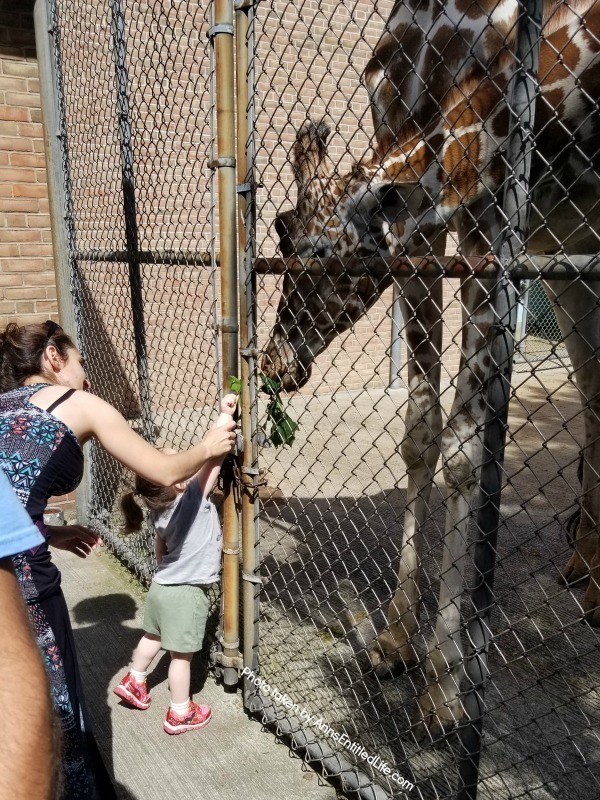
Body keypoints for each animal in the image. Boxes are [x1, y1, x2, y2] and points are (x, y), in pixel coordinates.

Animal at [264, 0, 600, 740]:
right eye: (280, 233)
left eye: (325, 251)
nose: (274, 362)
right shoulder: (426, 229)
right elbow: (422, 433)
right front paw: (394, 641)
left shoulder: (491, 229)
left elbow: (466, 457)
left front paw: (444, 693)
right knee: (594, 383)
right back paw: (587, 565)